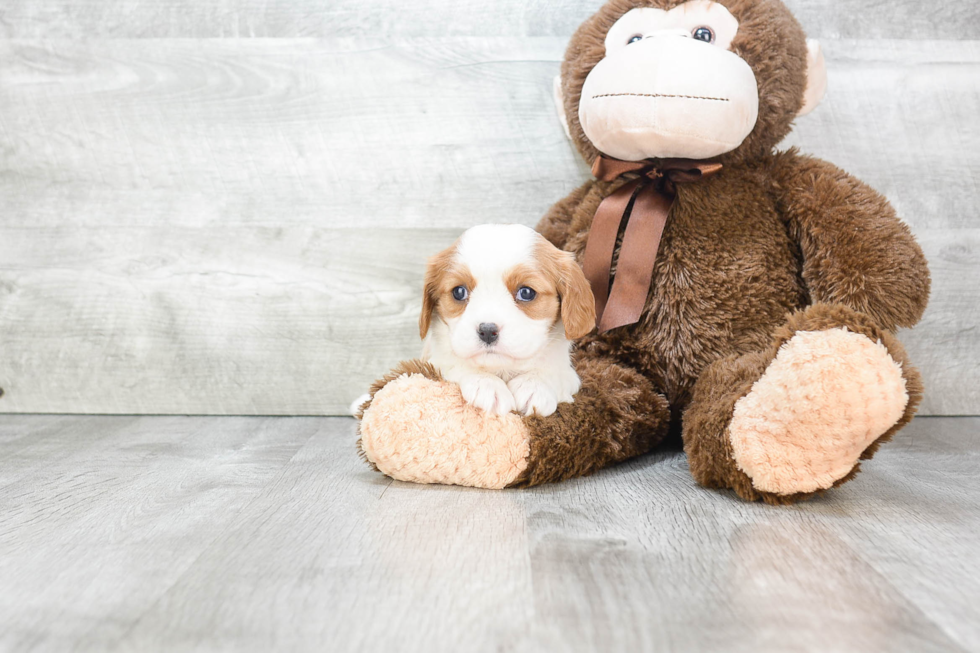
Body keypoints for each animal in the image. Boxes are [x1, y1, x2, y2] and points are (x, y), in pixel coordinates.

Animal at [418, 224, 592, 416]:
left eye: (526, 292)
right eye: (459, 292)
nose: (487, 331)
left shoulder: (568, 374)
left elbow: (552, 371)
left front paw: (535, 385)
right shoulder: (432, 363)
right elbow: (454, 364)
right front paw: (486, 384)